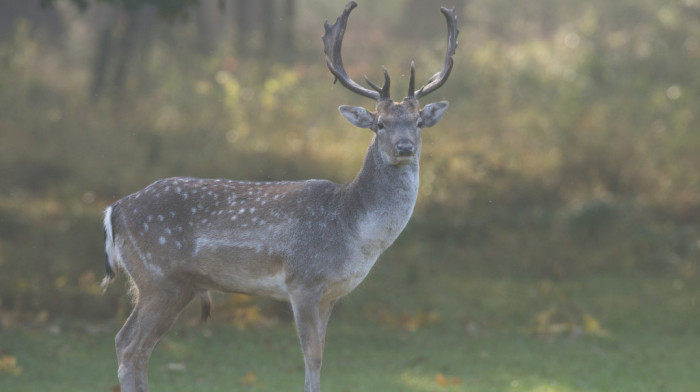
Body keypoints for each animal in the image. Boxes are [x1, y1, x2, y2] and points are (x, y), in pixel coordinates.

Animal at [101, 1, 456, 390]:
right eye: (379, 123)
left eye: (418, 122)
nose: (405, 147)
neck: (352, 229)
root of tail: (113, 210)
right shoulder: (303, 280)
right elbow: (312, 356)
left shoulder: (331, 294)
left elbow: (322, 355)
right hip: (157, 277)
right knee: (127, 343)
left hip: (173, 286)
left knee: (138, 346)